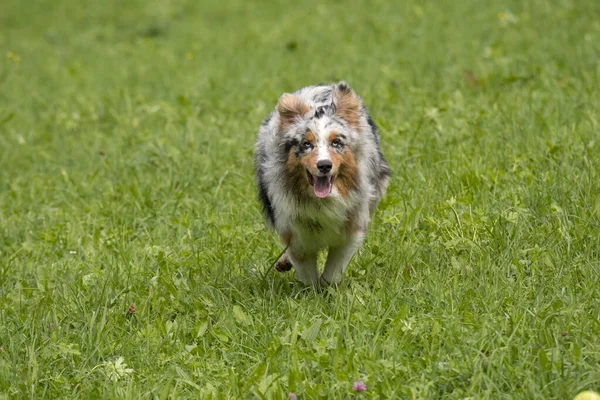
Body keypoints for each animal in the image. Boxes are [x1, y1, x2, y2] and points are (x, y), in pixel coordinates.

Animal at [255, 82, 392, 288]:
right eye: (306, 144)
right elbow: (306, 271)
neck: (323, 201)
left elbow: (333, 270)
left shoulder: (352, 228)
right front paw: (311, 293)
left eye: (336, 142)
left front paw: (328, 290)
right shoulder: (295, 232)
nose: (324, 165)